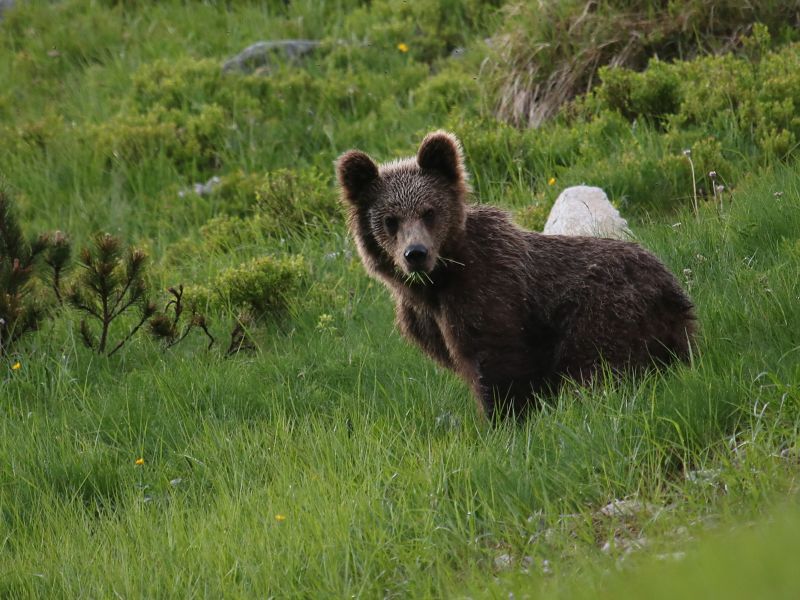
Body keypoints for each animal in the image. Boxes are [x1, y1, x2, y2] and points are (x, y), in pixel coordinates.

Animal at [334, 131, 696, 420]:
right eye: (390, 220)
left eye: (429, 212)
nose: (416, 254)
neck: (439, 283)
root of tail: (669, 286)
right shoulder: (428, 321)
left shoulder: (490, 296)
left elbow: (500, 367)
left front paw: (503, 422)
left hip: (604, 312)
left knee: (597, 367)